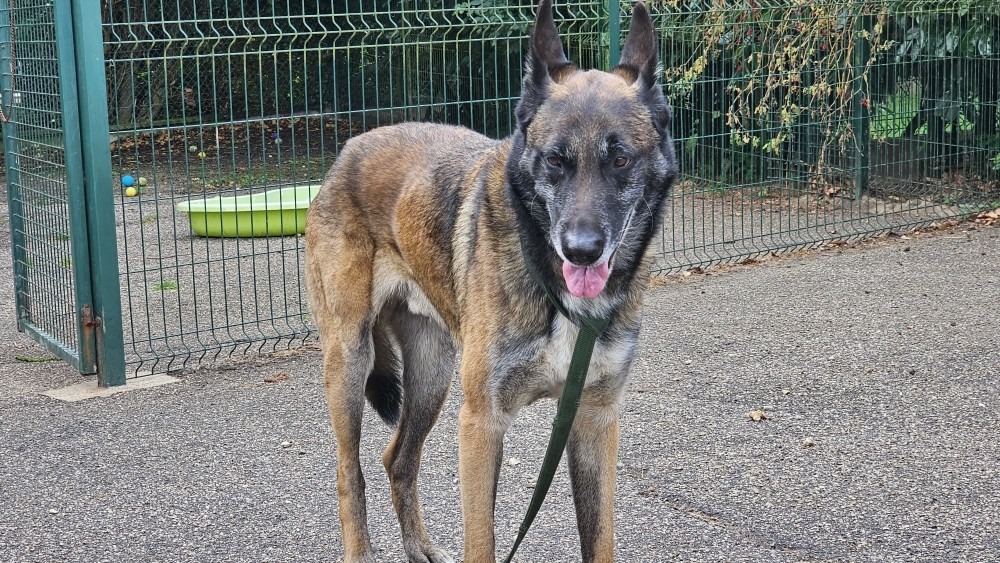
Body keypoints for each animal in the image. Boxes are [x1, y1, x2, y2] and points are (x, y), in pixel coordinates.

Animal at [304, 1, 677, 561]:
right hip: (351, 360)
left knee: (398, 458)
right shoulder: (481, 422)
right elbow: (481, 541)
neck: (550, 284)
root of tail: (349, 148)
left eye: (620, 158)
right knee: (349, 472)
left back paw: (420, 547)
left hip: (432, 374)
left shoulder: (594, 419)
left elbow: (600, 538)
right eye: (555, 159)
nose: (582, 249)